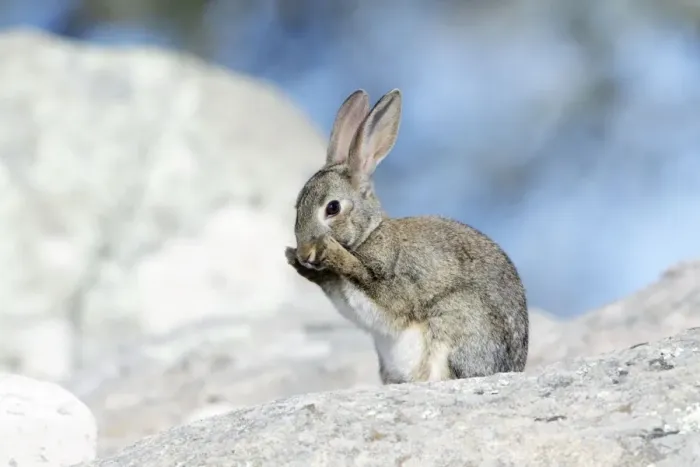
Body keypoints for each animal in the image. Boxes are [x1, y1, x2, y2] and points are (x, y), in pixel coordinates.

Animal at [285, 88, 529, 384]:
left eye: (332, 208)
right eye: (298, 205)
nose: (304, 252)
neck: (370, 234)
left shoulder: (396, 283)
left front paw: (330, 254)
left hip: (458, 322)